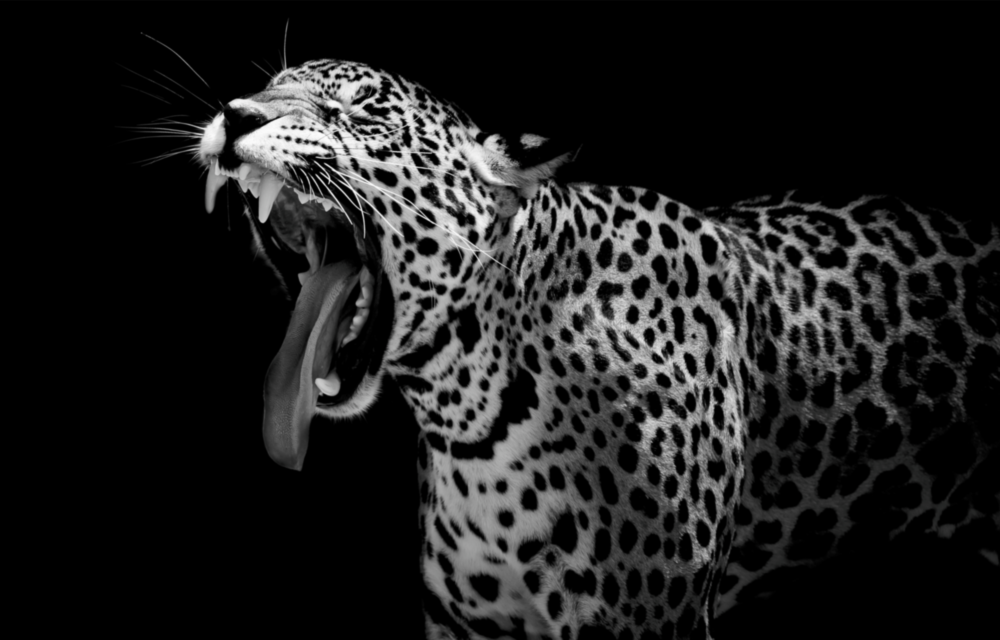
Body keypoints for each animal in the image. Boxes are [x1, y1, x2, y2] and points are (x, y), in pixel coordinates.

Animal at [195, 59, 999, 639]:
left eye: (361, 111)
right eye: (267, 86)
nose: (238, 115)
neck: (470, 409)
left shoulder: (649, 617)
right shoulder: (469, 623)